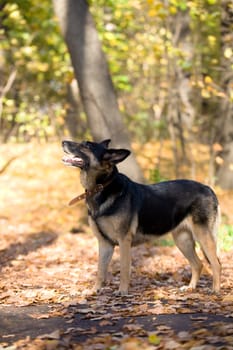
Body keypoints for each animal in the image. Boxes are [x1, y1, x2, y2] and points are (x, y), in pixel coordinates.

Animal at [62, 138, 222, 294]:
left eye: (86, 145)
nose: (63, 142)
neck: (102, 186)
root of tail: (208, 188)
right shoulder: (104, 244)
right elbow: (100, 270)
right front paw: (94, 291)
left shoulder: (124, 241)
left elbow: (124, 268)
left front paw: (122, 292)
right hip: (183, 241)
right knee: (198, 264)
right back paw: (191, 287)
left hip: (203, 237)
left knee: (216, 263)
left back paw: (215, 290)